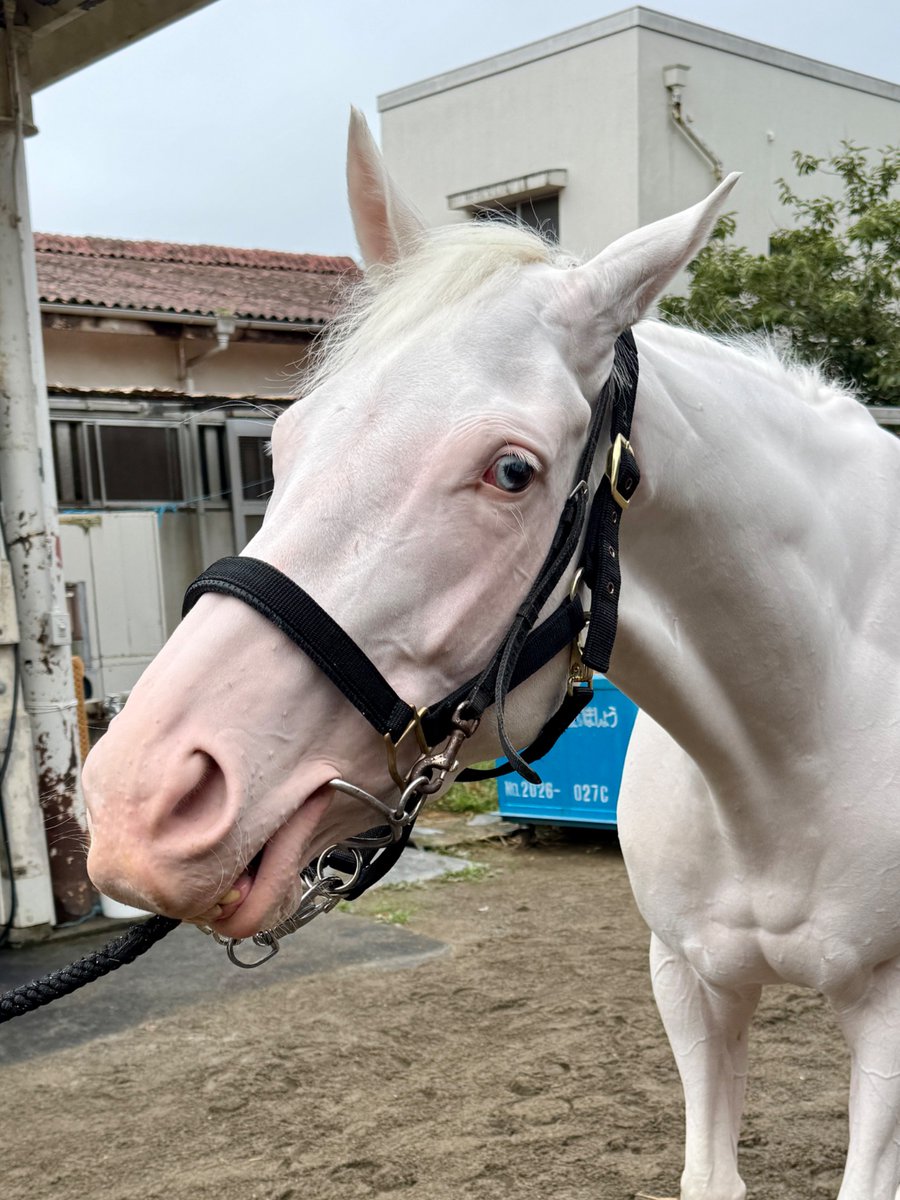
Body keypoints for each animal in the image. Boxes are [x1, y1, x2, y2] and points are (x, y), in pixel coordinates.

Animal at [82, 110, 900, 1200]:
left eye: (511, 471)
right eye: (284, 443)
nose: (140, 802)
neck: (796, 742)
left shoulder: (889, 1015)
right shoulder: (689, 980)